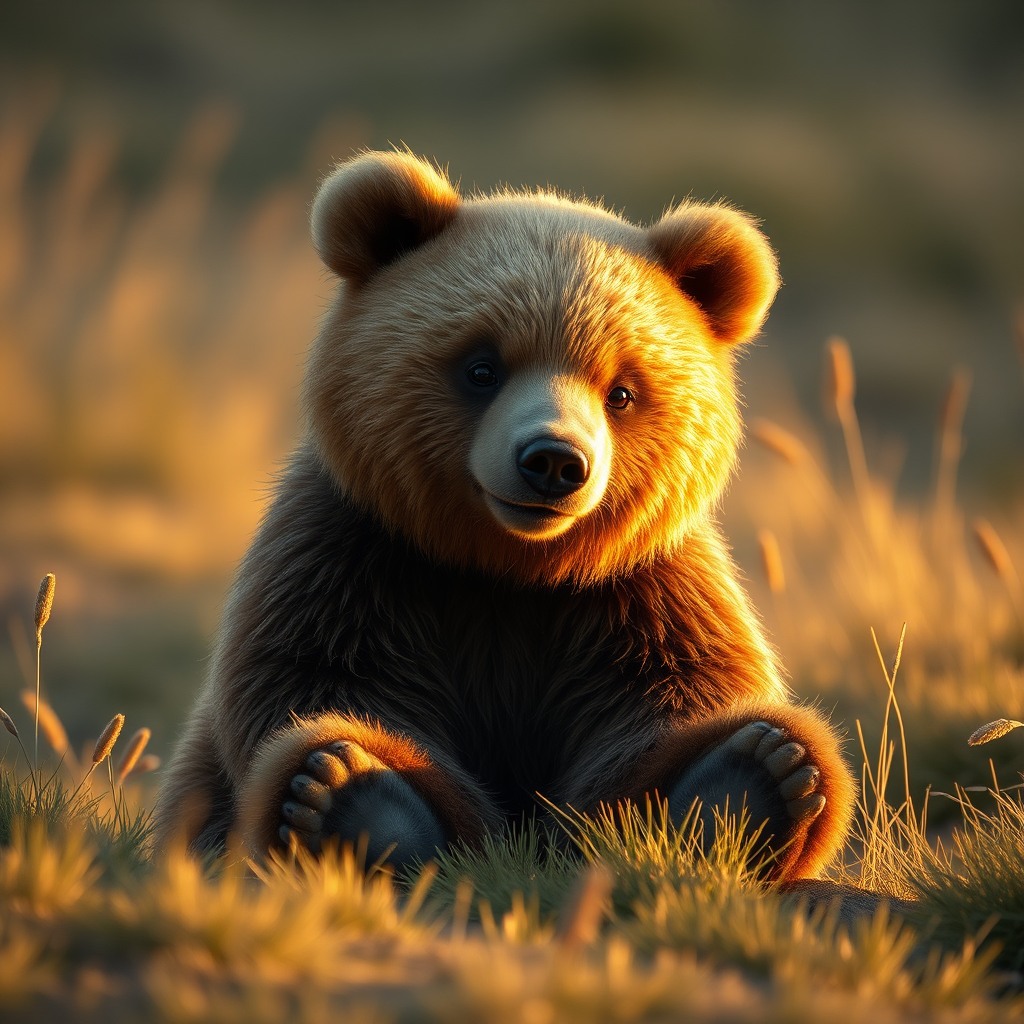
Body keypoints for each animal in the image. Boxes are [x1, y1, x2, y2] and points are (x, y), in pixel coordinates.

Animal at [154, 151, 856, 883]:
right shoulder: (354, 557)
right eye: (482, 366)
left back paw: (769, 773)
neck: (507, 568)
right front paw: (370, 803)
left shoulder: (641, 590)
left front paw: (746, 783)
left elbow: (671, 695)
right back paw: (338, 791)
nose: (553, 461)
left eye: (622, 391)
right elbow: (326, 677)